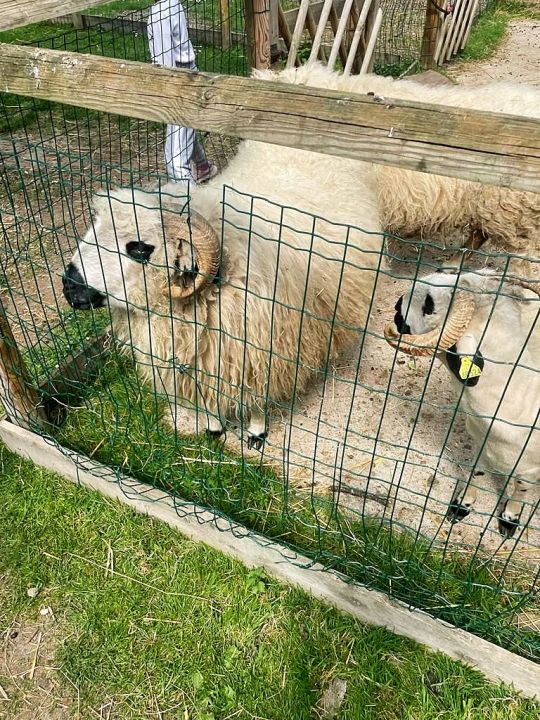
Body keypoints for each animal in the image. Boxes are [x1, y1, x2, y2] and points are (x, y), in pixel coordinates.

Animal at [62, 140, 383, 448]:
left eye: (139, 249)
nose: (68, 286)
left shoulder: (260, 351)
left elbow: (257, 397)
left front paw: (257, 432)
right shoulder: (206, 358)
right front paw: (213, 428)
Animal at [384, 269, 539, 538]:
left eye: (429, 305)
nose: (396, 305)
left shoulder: (530, 469)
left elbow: (521, 490)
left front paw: (510, 519)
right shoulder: (479, 441)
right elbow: (476, 471)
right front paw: (462, 505)